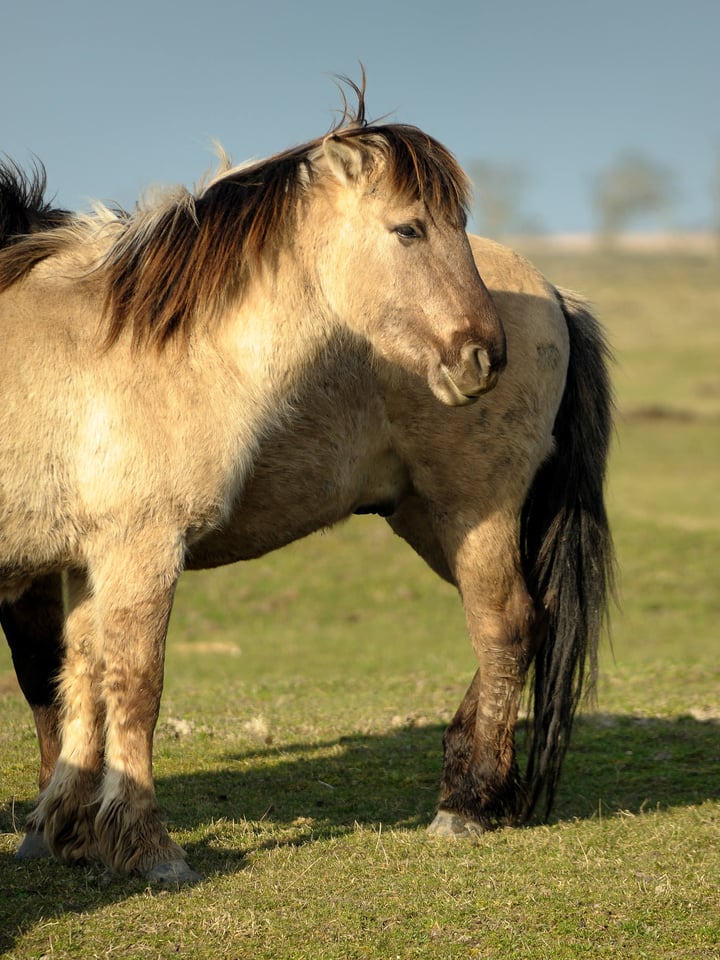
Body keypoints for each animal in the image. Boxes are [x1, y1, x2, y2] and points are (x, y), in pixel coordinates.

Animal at [0, 90, 612, 884]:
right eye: (410, 229)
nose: (483, 355)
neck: (130, 341)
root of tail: (554, 295)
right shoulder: (93, 555)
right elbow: (86, 677)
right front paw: (69, 827)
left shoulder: (136, 548)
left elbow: (127, 685)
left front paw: (143, 844)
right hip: (429, 515)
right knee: (522, 621)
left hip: (474, 507)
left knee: (504, 624)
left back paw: (468, 803)